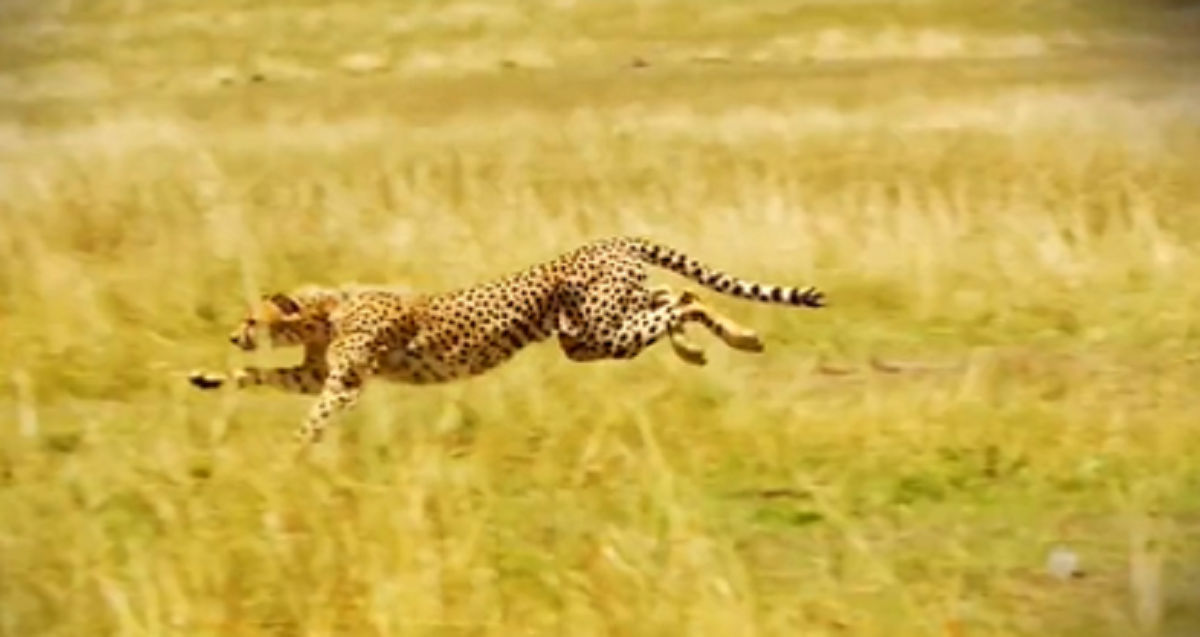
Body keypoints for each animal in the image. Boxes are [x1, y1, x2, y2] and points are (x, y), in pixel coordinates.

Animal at [189, 235, 825, 443]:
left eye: (251, 320)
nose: (234, 334)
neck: (326, 310)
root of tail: (612, 239)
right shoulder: (317, 373)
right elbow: (262, 376)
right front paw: (208, 377)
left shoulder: (343, 383)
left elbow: (316, 415)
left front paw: (293, 453)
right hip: (591, 337)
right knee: (675, 297)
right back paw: (712, 345)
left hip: (603, 331)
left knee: (685, 299)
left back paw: (736, 340)